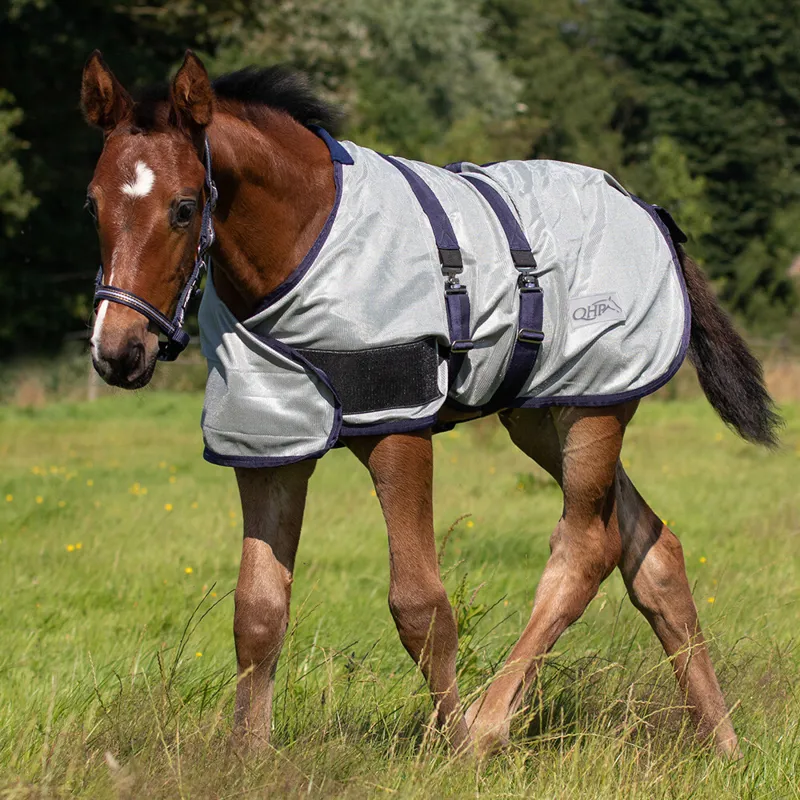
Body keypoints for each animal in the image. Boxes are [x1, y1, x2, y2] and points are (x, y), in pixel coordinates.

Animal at [80, 49, 780, 758]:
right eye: (92, 205)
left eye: (184, 207)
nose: (118, 351)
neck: (307, 243)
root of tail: (648, 209)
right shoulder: (270, 442)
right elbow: (257, 610)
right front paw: (248, 759)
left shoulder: (399, 428)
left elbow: (419, 604)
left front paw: (453, 747)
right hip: (542, 414)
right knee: (651, 547)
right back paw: (722, 742)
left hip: (596, 409)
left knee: (589, 546)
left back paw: (490, 726)